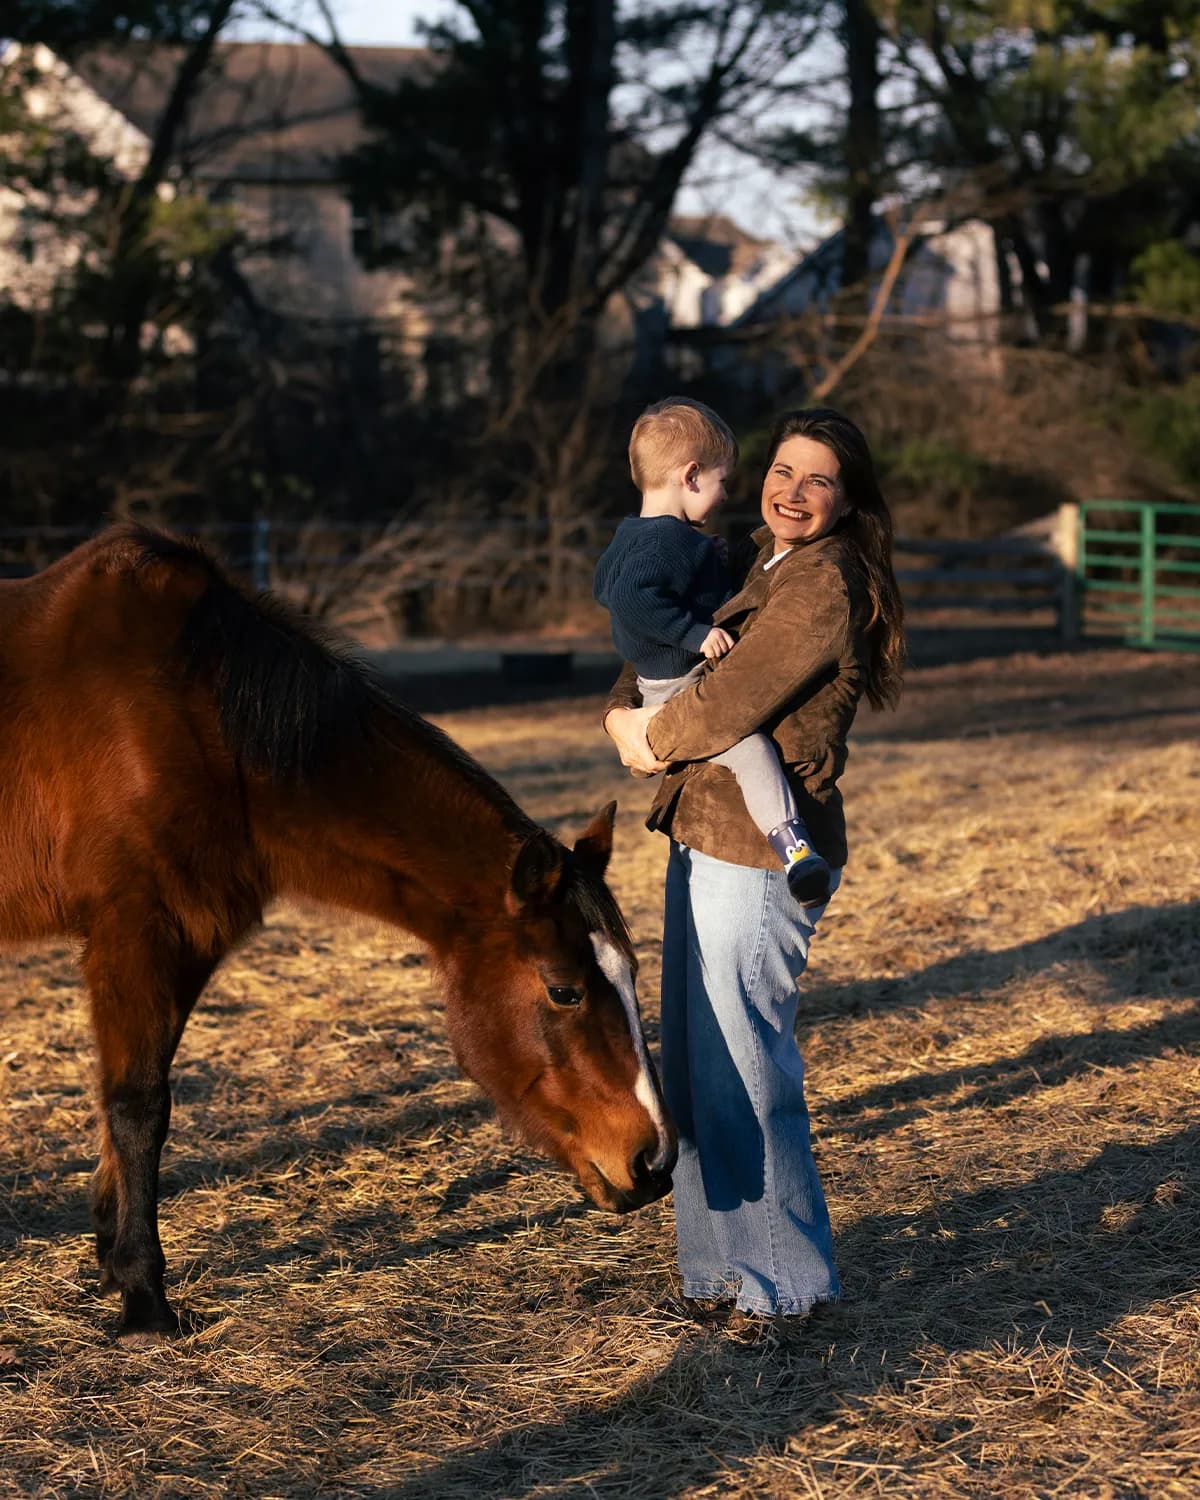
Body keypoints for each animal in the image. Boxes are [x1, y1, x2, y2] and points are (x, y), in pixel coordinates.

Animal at [0, 525, 675, 1339]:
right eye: (565, 991)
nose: (653, 1162)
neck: (195, 722)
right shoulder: (135, 933)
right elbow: (138, 1106)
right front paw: (142, 1296)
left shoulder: (183, 941)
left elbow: (124, 1103)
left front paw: (110, 1260)